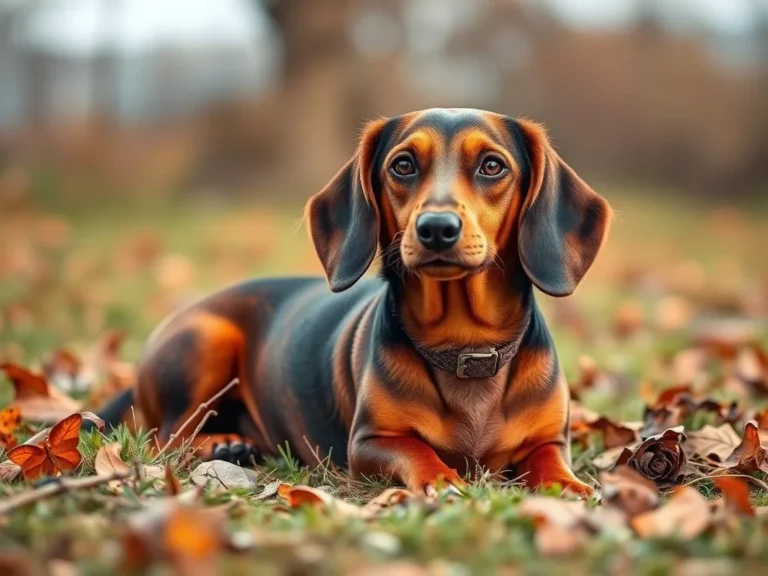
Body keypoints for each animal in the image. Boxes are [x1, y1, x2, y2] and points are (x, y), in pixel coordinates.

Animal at [102, 108, 612, 496]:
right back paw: (220, 444)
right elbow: (416, 450)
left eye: (492, 166)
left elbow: (550, 464)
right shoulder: (369, 442)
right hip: (207, 339)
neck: (464, 345)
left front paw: (572, 487)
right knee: (165, 437)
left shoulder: (550, 440)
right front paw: (441, 479)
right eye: (403, 165)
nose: (436, 228)